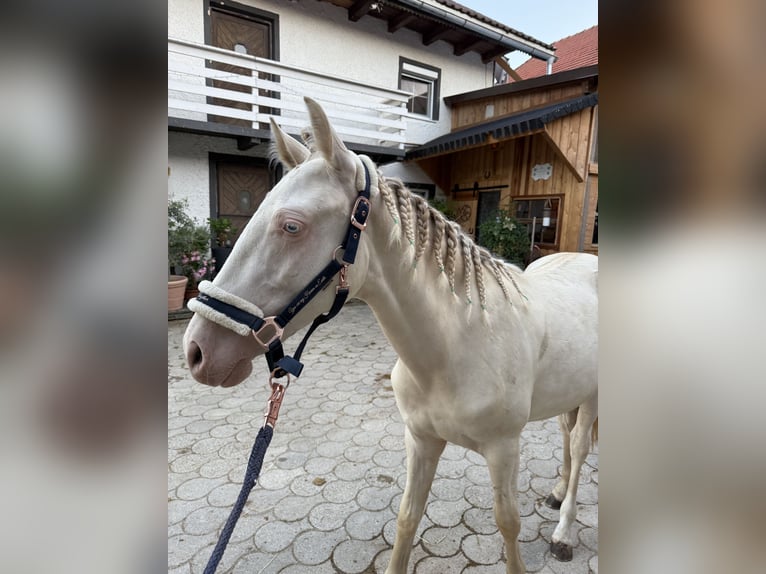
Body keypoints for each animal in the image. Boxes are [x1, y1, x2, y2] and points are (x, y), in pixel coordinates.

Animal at [183, 97, 598, 573]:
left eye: (291, 226)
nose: (197, 351)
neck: (458, 346)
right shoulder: (420, 440)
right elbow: (407, 517)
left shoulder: (504, 449)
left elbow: (508, 524)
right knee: (566, 437)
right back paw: (556, 494)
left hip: (593, 396)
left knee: (580, 448)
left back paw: (564, 531)